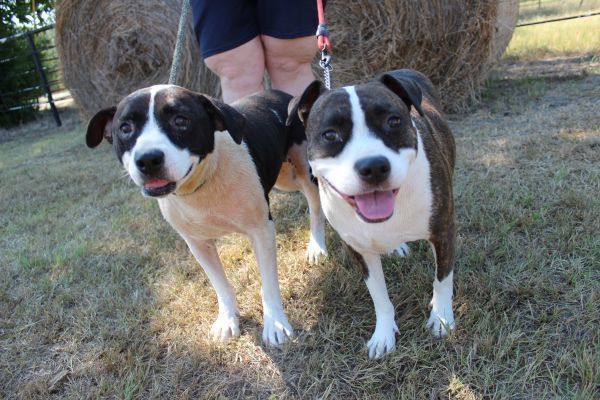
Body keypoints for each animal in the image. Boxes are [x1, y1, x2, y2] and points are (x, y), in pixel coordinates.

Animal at [86, 86, 326, 346]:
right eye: (125, 127)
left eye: (181, 121)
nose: (148, 159)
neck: (203, 182)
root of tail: (280, 94)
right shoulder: (198, 244)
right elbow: (219, 283)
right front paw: (228, 320)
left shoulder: (261, 231)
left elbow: (269, 282)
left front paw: (275, 324)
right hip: (284, 177)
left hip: (303, 167)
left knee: (315, 202)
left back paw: (317, 246)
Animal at [288, 69, 458, 360]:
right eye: (330, 135)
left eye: (393, 121)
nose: (374, 166)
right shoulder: (359, 250)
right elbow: (378, 295)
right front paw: (384, 334)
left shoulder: (443, 231)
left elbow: (443, 279)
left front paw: (441, 317)